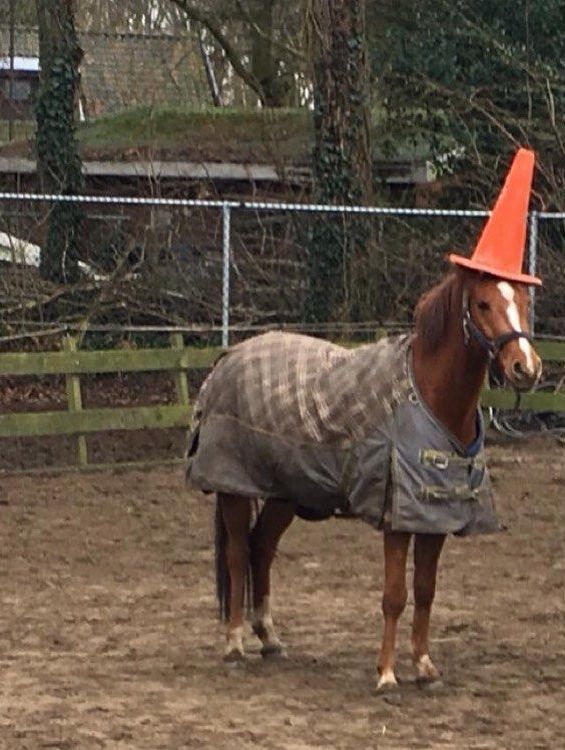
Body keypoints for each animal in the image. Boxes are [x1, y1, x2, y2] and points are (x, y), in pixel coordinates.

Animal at [186, 266, 541, 692]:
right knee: (239, 554)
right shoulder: (396, 519)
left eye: (523, 301)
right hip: (235, 489)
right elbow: (395, 595)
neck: (427, 395)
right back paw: (235, 645)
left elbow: (425, 591)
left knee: (262, 549)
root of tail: (228, 358)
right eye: (483, 303)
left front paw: (424, 666)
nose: (526, 368)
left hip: (284, 494)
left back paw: (269, 638)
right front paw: (386, 674)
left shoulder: (435, 515)